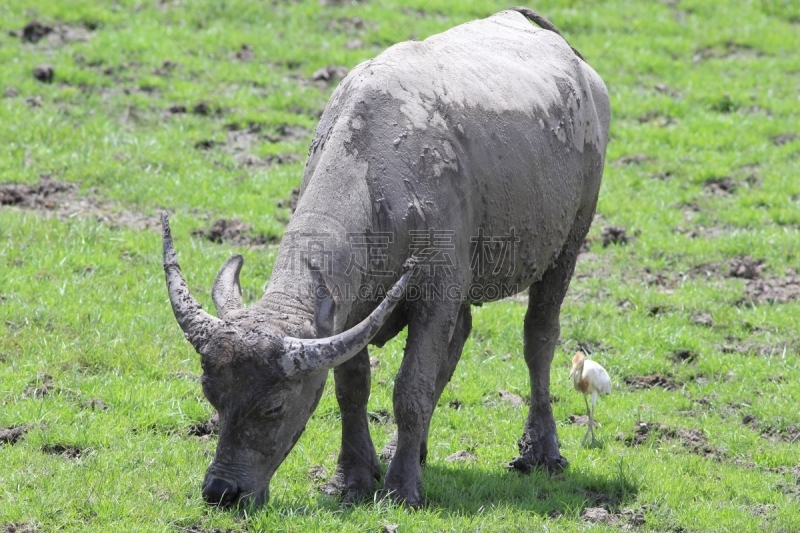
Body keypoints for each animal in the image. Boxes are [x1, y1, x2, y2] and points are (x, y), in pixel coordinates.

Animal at [166, 7, 608, 508]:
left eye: (274, 406)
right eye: (211, 394)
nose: (221, 490)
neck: (382, 184)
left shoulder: (436, 292)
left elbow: (411, 387)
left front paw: (401, 487)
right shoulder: (350, 310)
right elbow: (352, 387)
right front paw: (352, 477)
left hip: (568, 245)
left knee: (539, 338)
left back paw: (541, 450)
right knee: (458, 342)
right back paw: (411, 448)